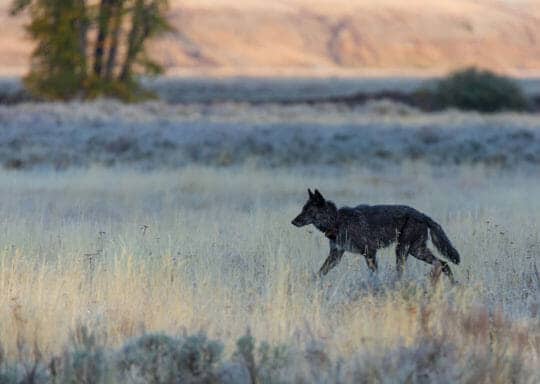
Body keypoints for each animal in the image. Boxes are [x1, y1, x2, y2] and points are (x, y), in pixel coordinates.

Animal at [292, 189, 460, 282]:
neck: (337, 221)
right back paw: (453, 284)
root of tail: (423, 215)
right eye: (302, 209)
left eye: (308, 211)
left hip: (403, 251)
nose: (293, 221)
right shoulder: (336, 255)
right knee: (444, 264)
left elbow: (374, 274)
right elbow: (320, 272)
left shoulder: (370, 252)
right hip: (416, 251)